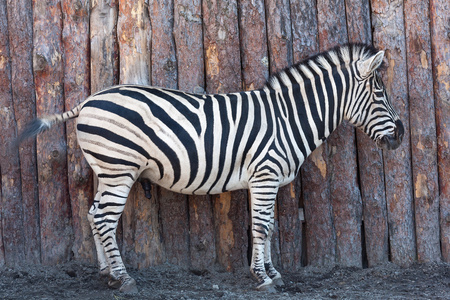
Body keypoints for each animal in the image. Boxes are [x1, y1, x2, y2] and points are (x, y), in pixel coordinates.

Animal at [17, 44, 404, 292]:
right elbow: (261, 227)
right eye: (380, 94)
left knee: (93, 214)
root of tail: (87, 101)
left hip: (107, 170)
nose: (400, 134)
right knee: (103, 219)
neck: (287, 119)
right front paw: (263, 279)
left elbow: (269, 227)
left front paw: (273, 273)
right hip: (119, 169)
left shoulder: (265, 181)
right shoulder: (264, 175)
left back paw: (107, 275)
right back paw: (124, 280)